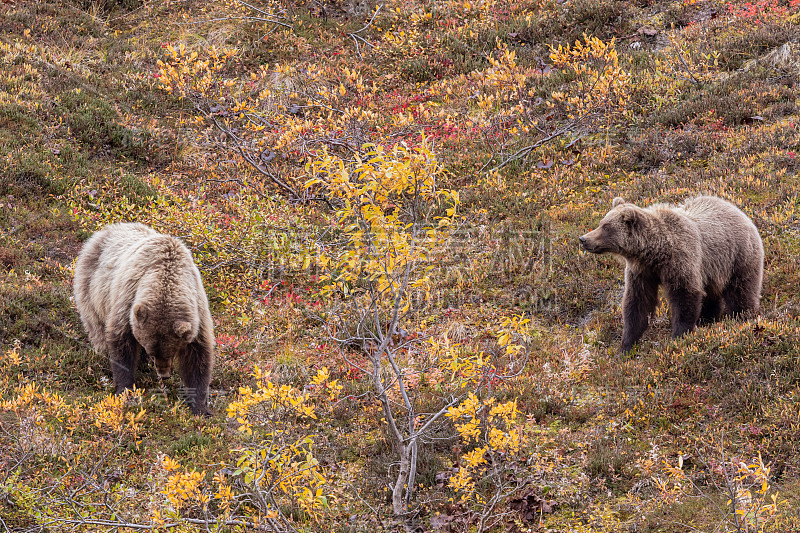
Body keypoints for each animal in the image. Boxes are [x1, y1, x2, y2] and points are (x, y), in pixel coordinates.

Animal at [72, 222, 214, 414]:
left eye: (171, 351)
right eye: (153, 352)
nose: (164, 374)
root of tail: (106, 229)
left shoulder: (197, 309)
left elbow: (198, 358)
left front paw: (200, 407)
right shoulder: (128, 300)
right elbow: (122, 344)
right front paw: (125, 389)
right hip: (92, 288)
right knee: (96, 325)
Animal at [580, 195, 764, 354]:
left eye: (606, 227)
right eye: (601, 223)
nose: (583, 239)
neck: (655, 253)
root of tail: (740, 212)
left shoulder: (680, 260)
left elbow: (685, 296)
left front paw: (679, 336)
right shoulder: (641, 271)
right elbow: (637, 303)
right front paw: (626, 345)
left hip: (738, 257)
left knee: (741, 290)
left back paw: (742, 317)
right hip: (712, 270)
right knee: (711, 295)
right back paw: (707, 319)